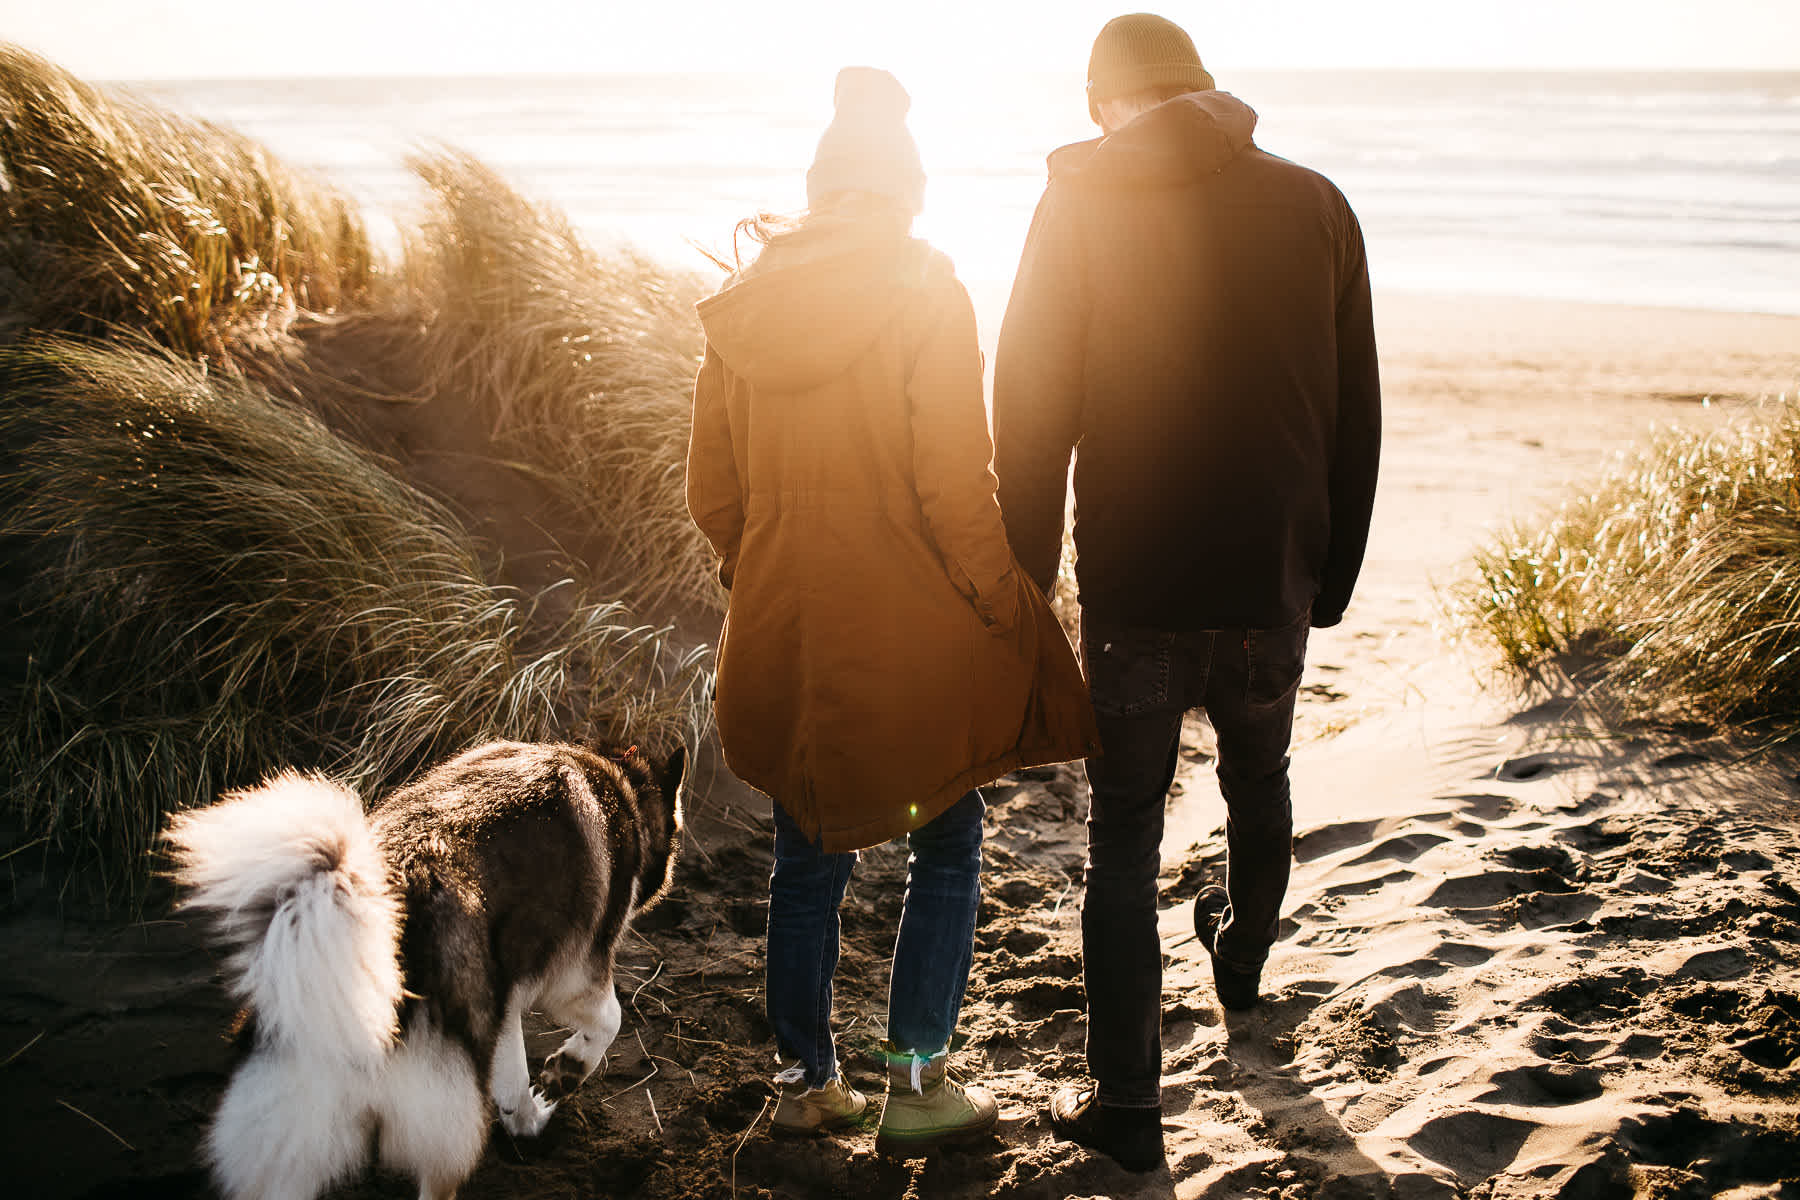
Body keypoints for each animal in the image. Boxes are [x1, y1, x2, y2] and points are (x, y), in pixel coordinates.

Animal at [165, 741, 684, 1200]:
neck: (621, 787)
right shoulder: (573, 977)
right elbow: (608, 1021)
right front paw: (566, 1071)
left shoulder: (501, 1000)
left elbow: (512, 1073)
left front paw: (526, 1115)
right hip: (447, 1124)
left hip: (292, 1134)